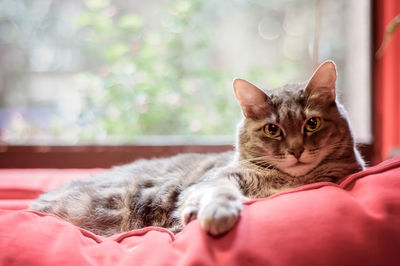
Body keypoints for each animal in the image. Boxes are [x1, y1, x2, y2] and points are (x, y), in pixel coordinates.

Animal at [28, 60, 366, 237]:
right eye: (273, 129)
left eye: (312, 124)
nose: (296, 151)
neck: (288, 182)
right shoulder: (217, 179)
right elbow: (217, 192)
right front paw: (215, 213)